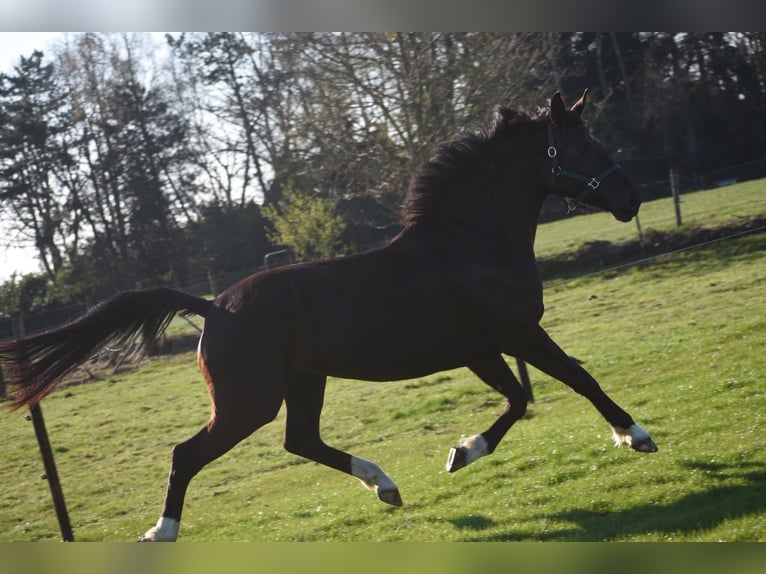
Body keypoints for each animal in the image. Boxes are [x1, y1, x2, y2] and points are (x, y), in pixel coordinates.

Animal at [0, 90, 657, 542]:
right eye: (584, 146)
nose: (631, 200)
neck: (471, 242)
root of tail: (214, 307)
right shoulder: (518, 333)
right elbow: (578, 378)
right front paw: (636, 435)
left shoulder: (482, 348)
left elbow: (519, 401)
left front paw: (461, 452)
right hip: (249, 403)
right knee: (188, 454)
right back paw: (161, 533)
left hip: (303, 382)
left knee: (302, 440)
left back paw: (385, 485)